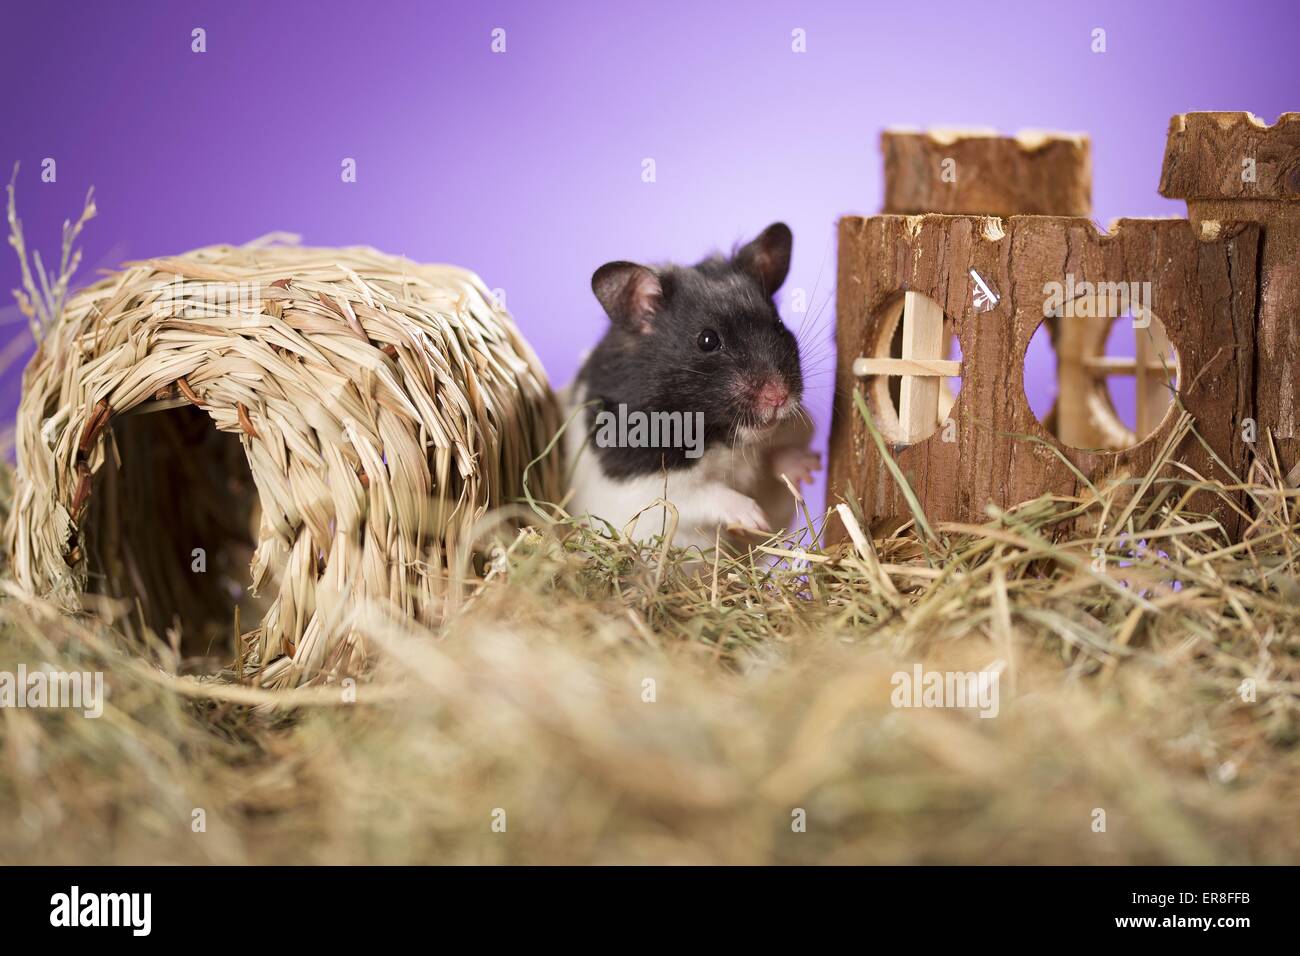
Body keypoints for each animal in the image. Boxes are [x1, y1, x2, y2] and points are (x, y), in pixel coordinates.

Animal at [561, 222, 820, 551]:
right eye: (707, 340)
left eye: (778, 325)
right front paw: (753, 518)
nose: (778, 396)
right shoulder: (647, 487)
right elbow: (704, 494)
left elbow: (772, 459)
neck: (722, 437)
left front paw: (810, 467)